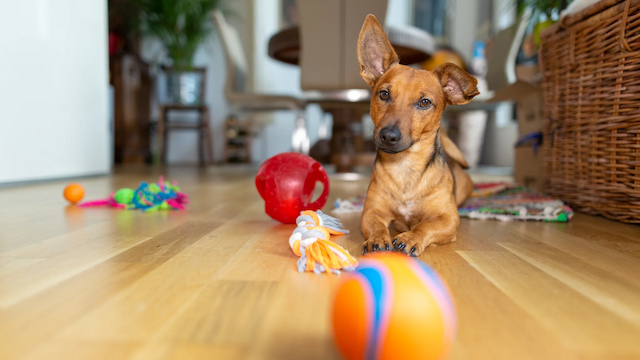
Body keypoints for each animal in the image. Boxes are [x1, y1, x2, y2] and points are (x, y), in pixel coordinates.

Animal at [358, 14, 478, 256]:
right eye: (383, 94)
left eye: (424, 102)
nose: (388, 136)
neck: (405, 167)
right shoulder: (371, 212)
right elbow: (376, 226)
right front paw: (377, 239)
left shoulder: (448, 219)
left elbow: (425, 226)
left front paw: (411, 237)